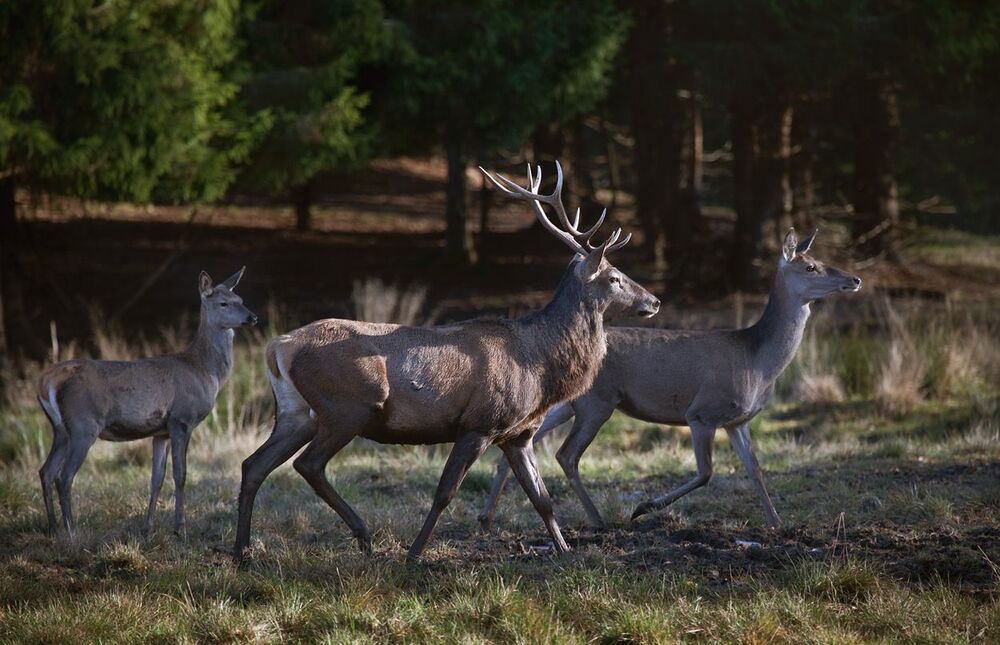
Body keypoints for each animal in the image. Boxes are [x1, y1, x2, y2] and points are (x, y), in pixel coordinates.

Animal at [36, 268, 257, 537]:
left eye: (241, 300)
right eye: (224, 303)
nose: (252, 317)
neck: (203, 370)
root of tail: (47, 381)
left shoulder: (160, 431)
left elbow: (156, 478)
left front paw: (147, 527)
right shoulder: (182, 419)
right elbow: (181, 474)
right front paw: (180, 529)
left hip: (61, 429)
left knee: (46, 471)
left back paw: (52, 528)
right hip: (83, 424)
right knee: (64, 475)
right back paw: (71, 531)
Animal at [233, 162, 660, 563]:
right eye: (615, 277)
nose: (654, 301)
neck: (539, 366)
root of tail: (279, 346)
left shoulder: (518, 434)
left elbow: (541, 498)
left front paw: (567, 552)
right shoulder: (479, 423)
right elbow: (445, 492)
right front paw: (414, 553)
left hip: (296, 412)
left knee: (253, 465)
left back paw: (242, 552)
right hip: (347, 406)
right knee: (308, 465)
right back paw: (363, 534)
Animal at [478, 229, 862, 531]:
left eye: (820, 259)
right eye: (810, 266)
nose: (855, 279)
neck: (757, 361)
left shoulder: (738, 420)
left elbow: (755, 469)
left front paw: (778, 523)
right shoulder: (703, 412)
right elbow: (707, 473)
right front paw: (644, 507)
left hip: (566, 404)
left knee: (520, 444)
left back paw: (487, 518)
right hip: (597, 402)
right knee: (566, 454)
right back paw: (598, 520)